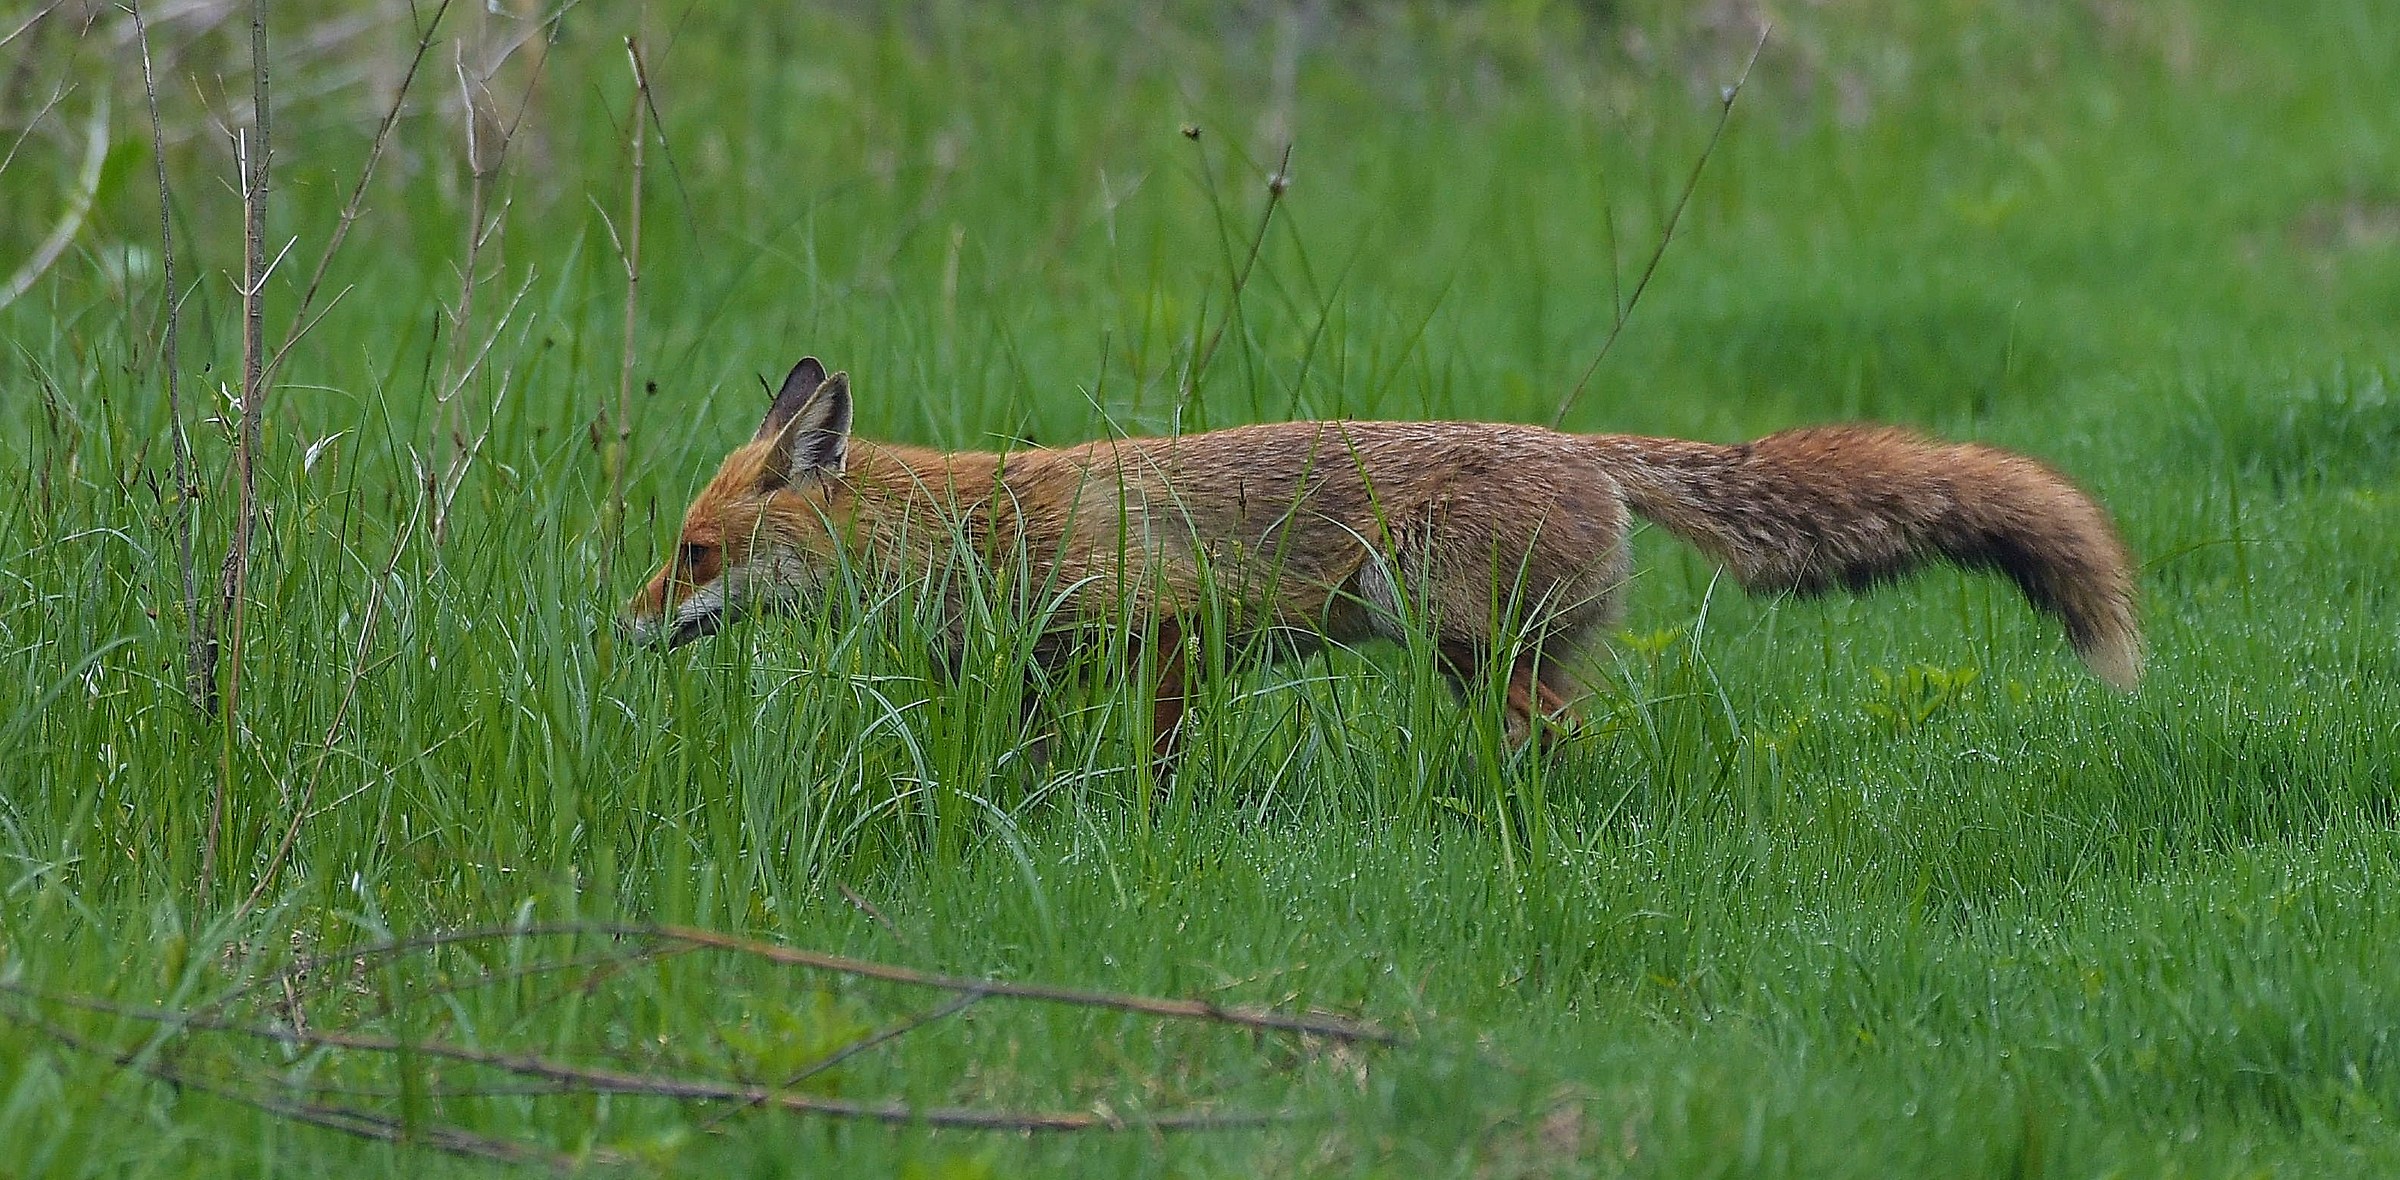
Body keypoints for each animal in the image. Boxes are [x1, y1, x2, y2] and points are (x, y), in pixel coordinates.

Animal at [622, 357, 2140, 765]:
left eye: (692, 553)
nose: (619, 627)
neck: (974, 534)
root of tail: (1581, 442)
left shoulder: (1167, 633)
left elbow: (1157, 770)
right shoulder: (1045, 670)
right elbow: (1040, 764)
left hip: (1441, 624)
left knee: (1566, 732)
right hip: (1472, 648)